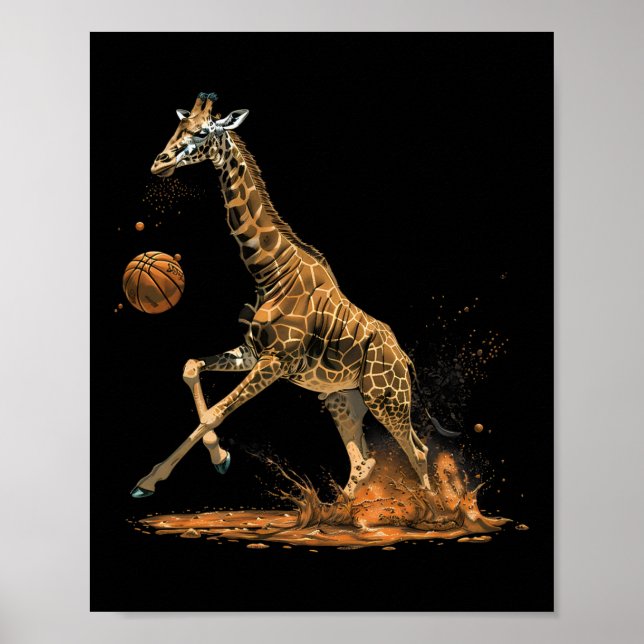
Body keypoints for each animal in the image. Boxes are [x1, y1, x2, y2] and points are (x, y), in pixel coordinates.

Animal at [131, 92, 458, 501]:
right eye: (178, 125)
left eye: (203, 131)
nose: (160, 163)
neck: (269, 270)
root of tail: (406, 361)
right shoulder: (252, 352)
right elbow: (191, 368)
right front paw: (218, 458)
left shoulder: (276, 362)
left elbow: (217, 411)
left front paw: (148, 481)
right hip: (343, 398)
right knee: (363, 461)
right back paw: (337, 511)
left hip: (388, 399)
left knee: (417, 449)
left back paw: (431, 510)